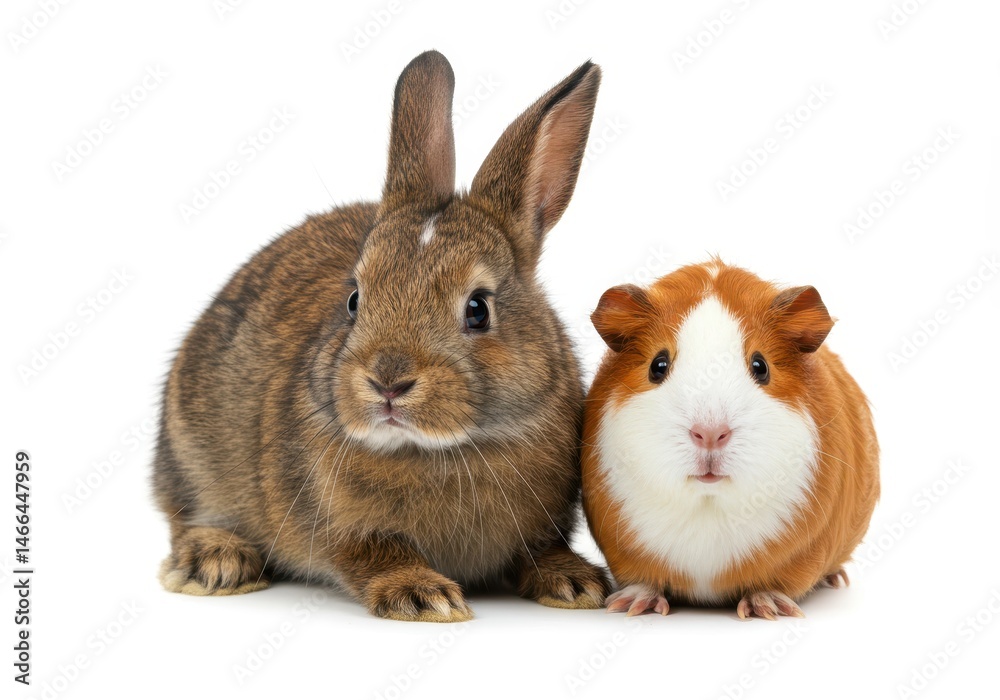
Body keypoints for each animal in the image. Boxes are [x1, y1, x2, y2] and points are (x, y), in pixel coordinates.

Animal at [152, 50, 611, 622]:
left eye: (478, 310)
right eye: (354, 300)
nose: (388, 382)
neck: (438, 452)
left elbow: (542, 549)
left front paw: (575, 583)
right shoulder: (342, 530)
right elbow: (373, 554)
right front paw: (423, 596)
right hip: (189, 452)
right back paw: (215, 562)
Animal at [581, 260, 879, 619]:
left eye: (761, 366)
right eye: (658, 365)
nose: (710, 433)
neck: (708, 504)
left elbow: (772, 584)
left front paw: (768, 607)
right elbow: (645, 580)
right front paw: (632, 604)